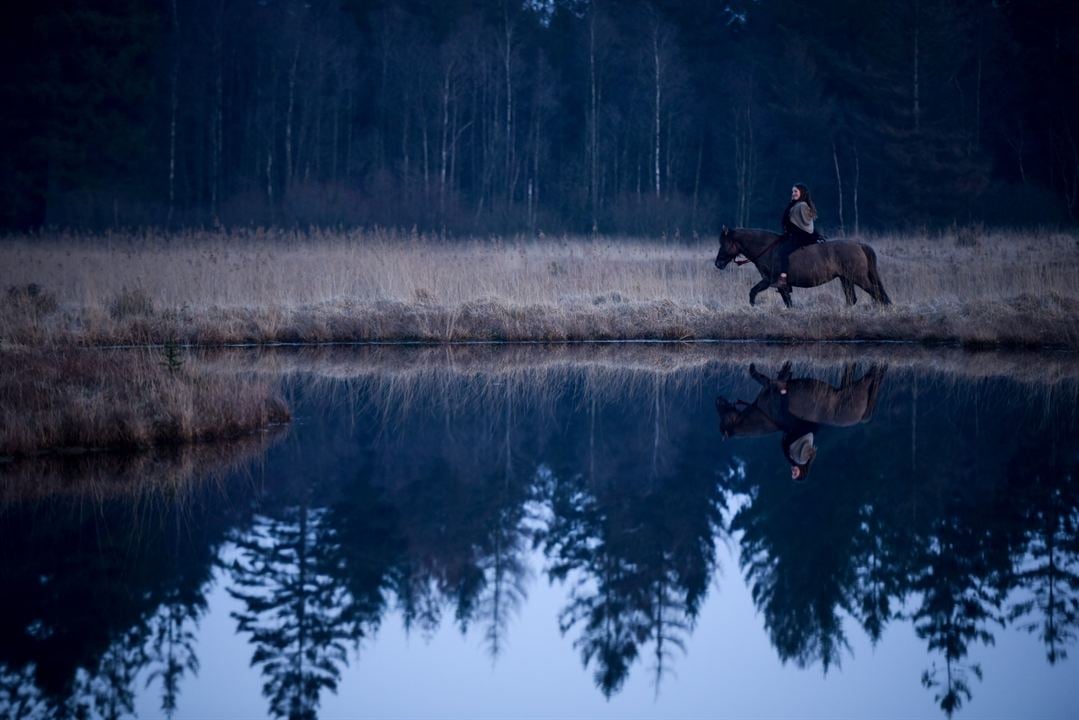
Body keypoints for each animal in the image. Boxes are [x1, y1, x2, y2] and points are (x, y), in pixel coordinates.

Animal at [716, 226, 893, 308]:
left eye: (724, 243)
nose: (718, 263)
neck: (768, 249)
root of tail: (859, 245)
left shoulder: (772, 281)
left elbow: (757, 293)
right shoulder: (773, 282)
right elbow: (784, 300)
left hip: (858, 277)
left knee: (875, 292)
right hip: (846, 279)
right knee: (852, 298)